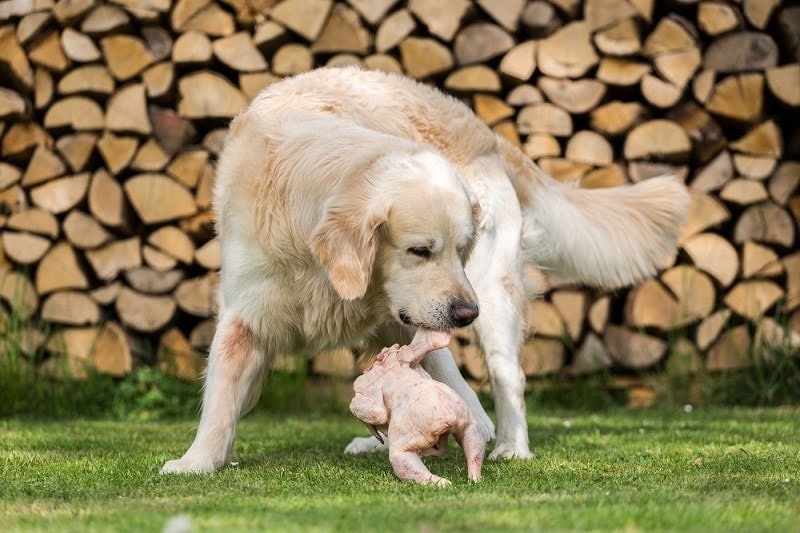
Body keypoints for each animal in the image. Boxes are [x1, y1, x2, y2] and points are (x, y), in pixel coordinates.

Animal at [161, 67, 688, 474]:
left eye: (460, 249)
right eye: (419, 250)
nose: (465, 314)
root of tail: (485, 131)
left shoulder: (419, 319)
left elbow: (454, 384)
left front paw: (475, 429)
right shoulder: (245, 312)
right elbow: (220, 400)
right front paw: (197, 462)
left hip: (491, 293)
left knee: (508, 377)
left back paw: (510, 445)